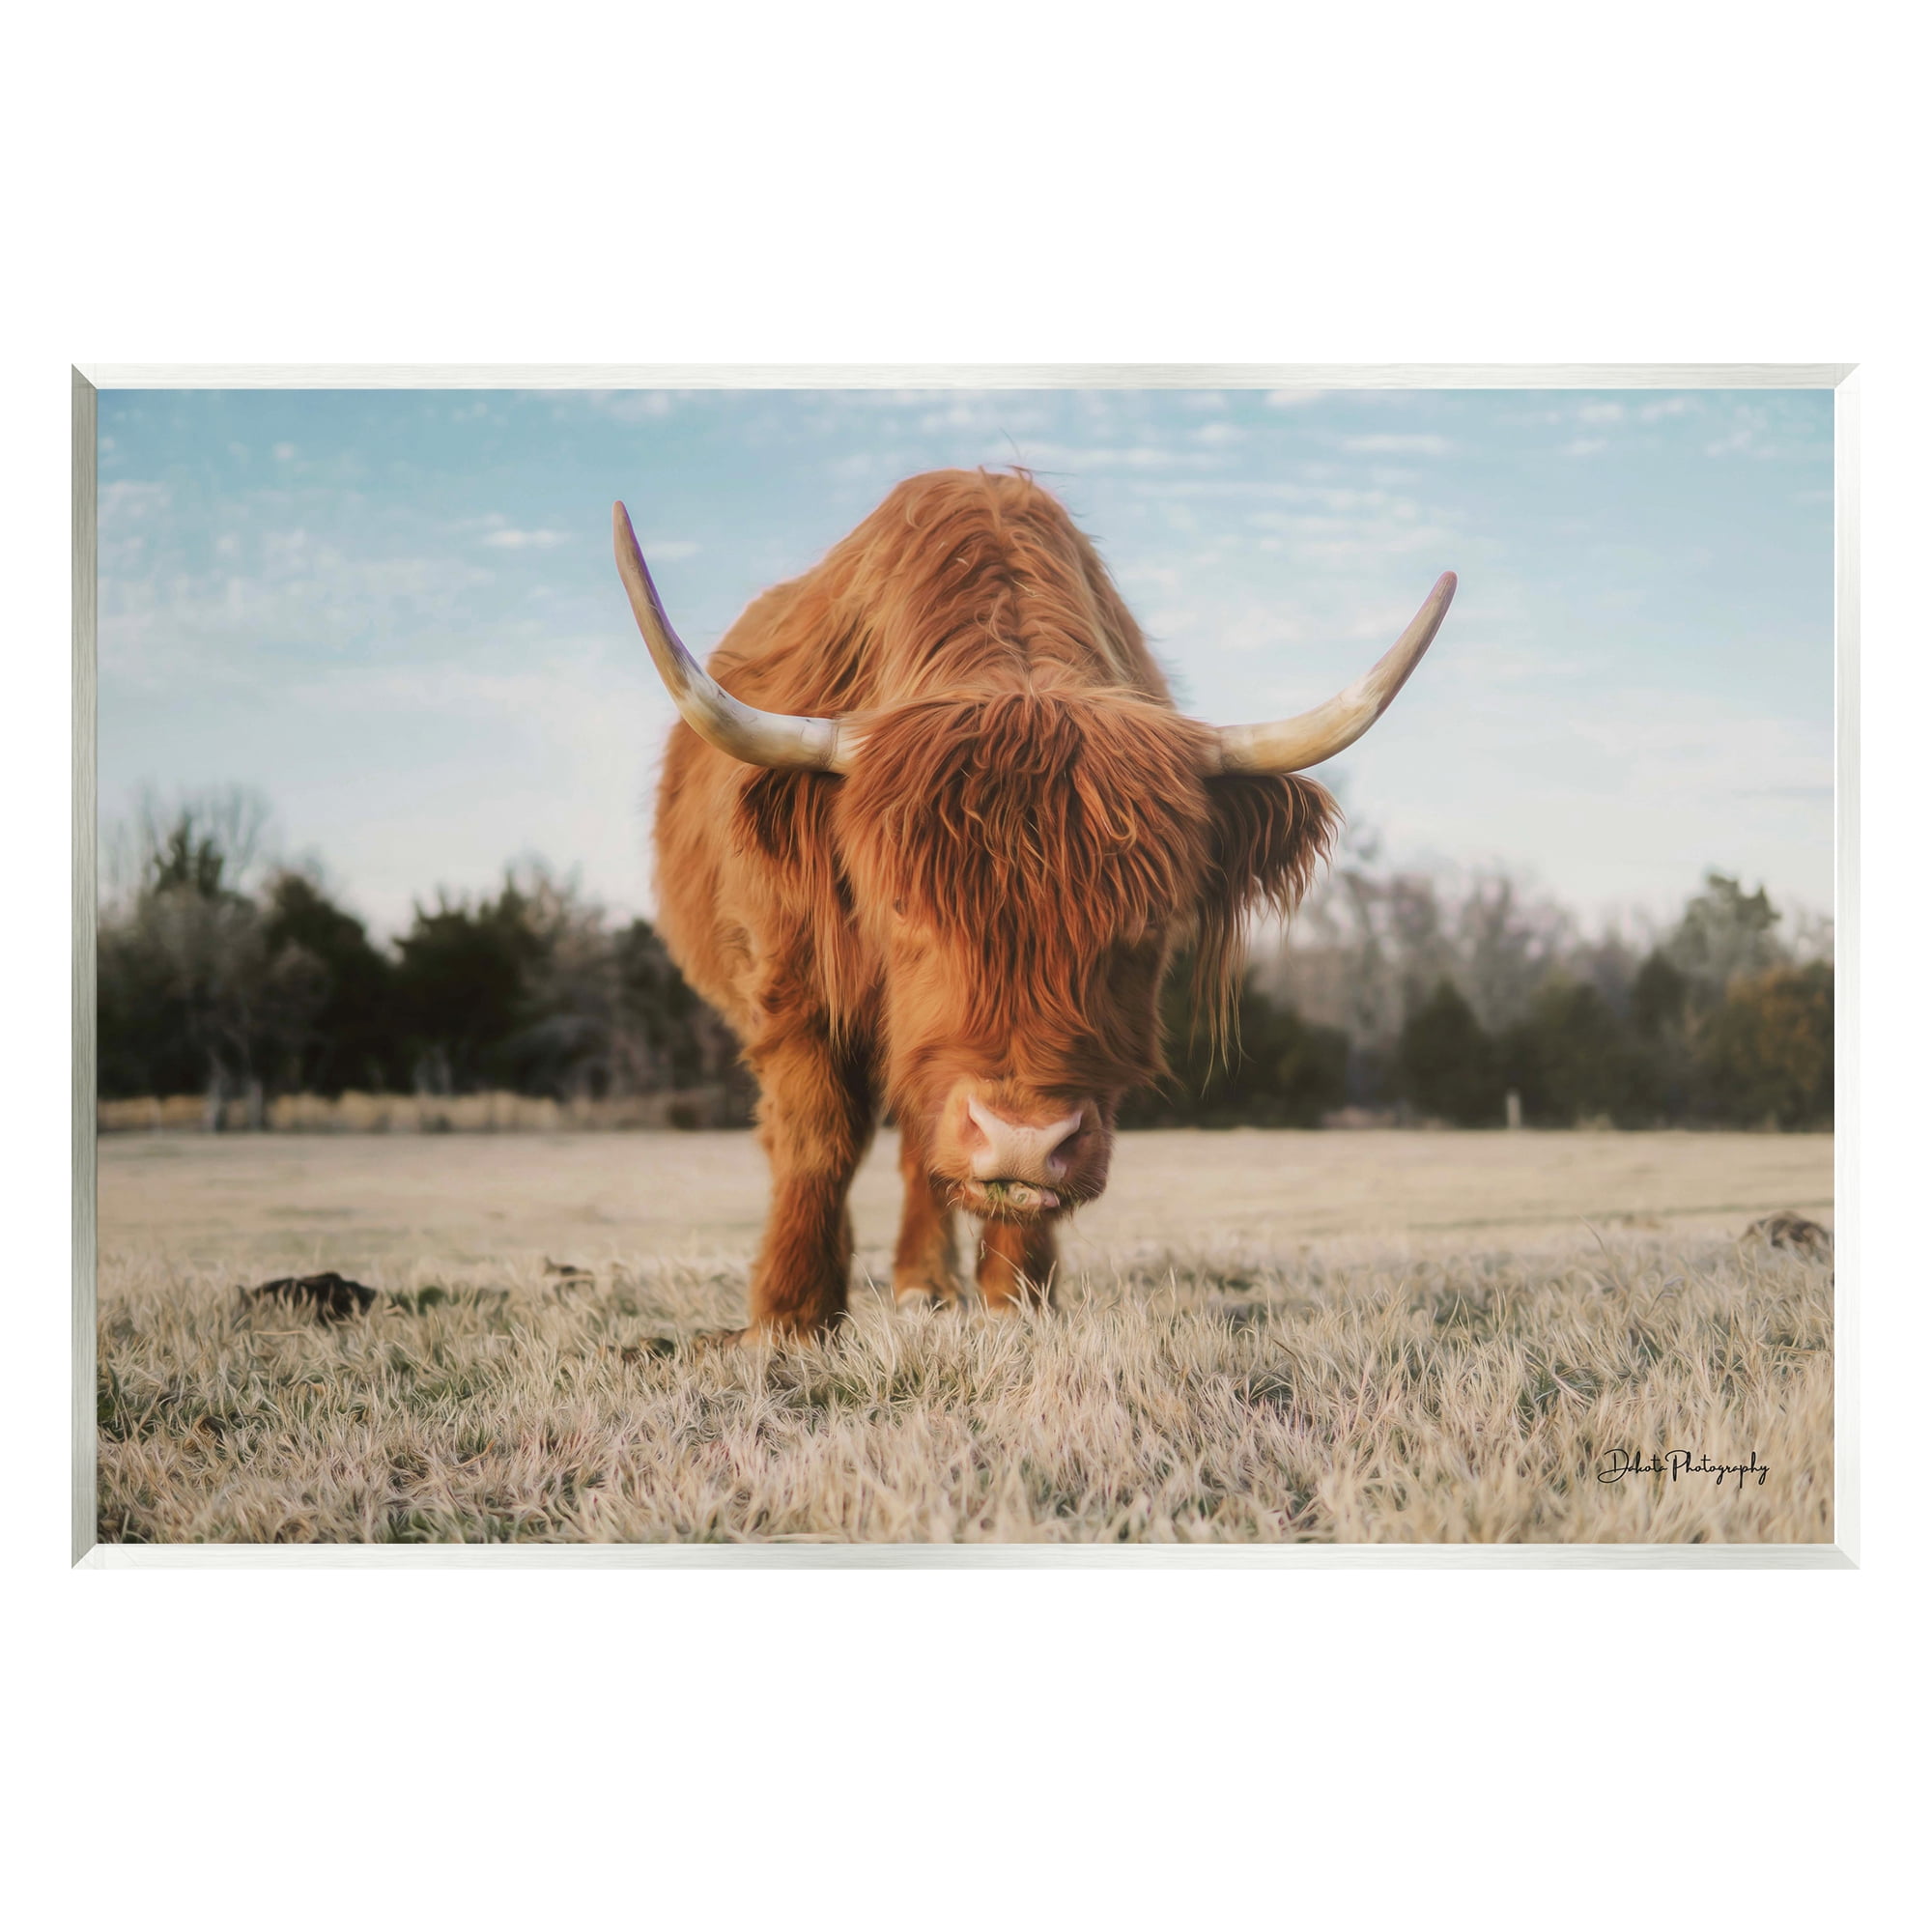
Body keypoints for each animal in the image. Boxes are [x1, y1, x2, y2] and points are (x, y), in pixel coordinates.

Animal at [617, 469, 1454, 1340]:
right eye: (901, 903)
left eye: (1148, 920)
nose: (1021, 1141)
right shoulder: (791, 981)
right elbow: (819, 1134)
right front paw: (790, 1313)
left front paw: (1015, 1297)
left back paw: (926, 1283)